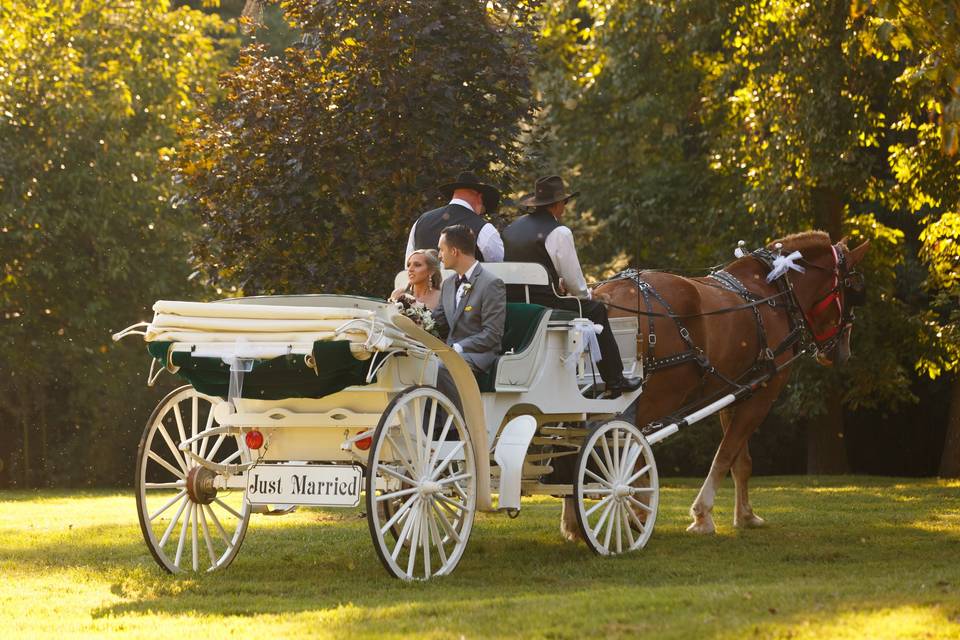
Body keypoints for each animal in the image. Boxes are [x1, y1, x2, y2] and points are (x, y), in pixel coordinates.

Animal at [560, 232, 868, 536]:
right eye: (852, 289)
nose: (844, 352)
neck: (775, 293)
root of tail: (605, 295)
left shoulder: (737, 392)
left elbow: (741, 462)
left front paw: (745, 515)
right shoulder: (763, 395)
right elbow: (725, 454)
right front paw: (703, 514)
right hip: (658, 395)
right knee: (622, 447)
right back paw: (631, 508)